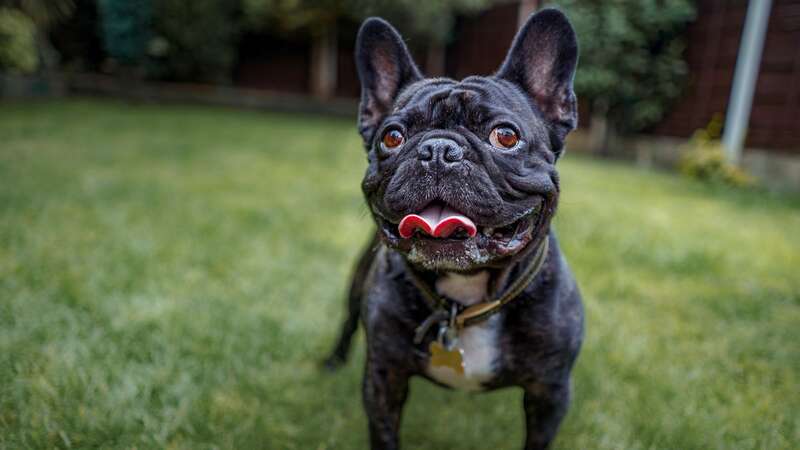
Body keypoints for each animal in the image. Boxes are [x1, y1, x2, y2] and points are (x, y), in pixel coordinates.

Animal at [322, 7, 584, 450]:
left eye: (506, 136)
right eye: (392, 137)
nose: (438, 149)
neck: (465, 300)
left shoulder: (550, 393)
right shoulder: (384, 377)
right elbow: (384, 433)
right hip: (357, 285)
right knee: (347, 321)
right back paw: (332, 361)